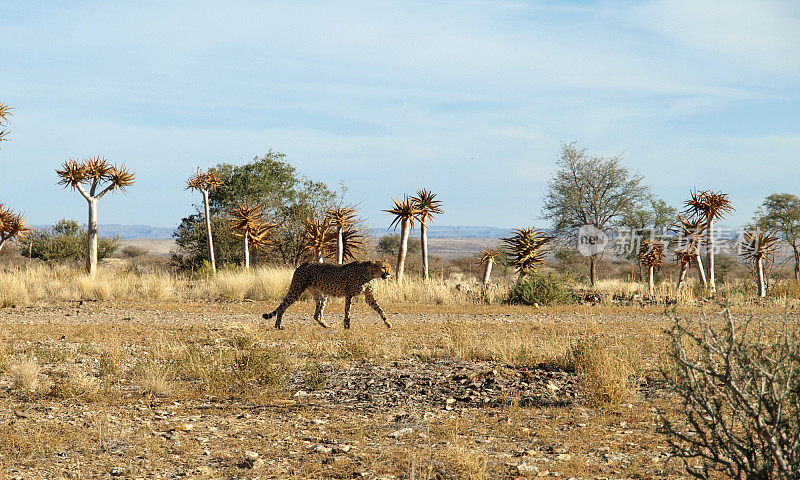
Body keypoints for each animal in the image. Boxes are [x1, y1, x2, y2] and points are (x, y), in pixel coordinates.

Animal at [264, 260, 392, 328]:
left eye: (389, 267)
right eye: (383, 267)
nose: (389, 274)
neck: (370, 274)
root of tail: (304, 263)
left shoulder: (369, 297)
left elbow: (380, 309)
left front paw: (388, 323)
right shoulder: (349, 294)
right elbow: (347, 311)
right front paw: (347, 326)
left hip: (321, 295)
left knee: (316, 314)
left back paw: (325, 325)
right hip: (296, 289)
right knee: (282, 307)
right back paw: (278, 325)